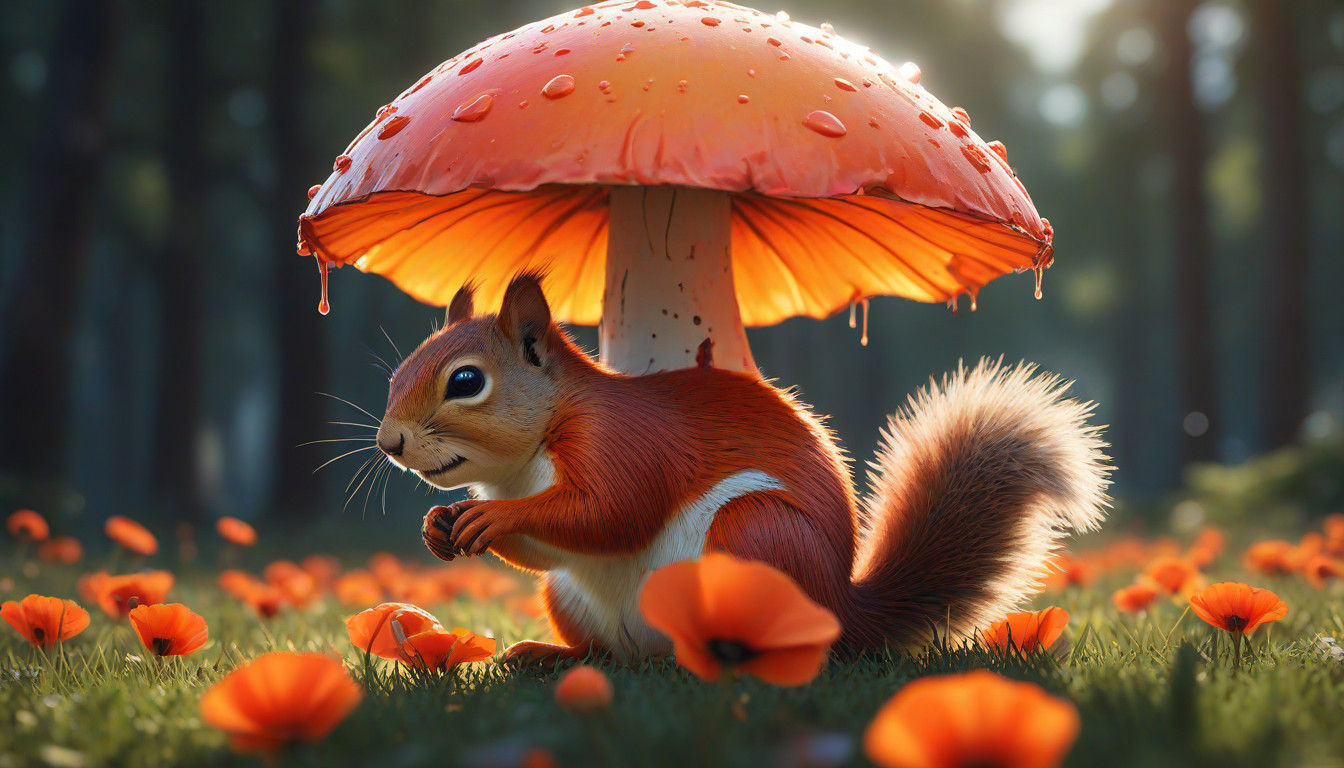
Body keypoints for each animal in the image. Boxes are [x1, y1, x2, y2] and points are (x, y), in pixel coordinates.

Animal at [375, 274, 1110, 664]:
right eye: (398, 371)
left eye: (466, 381)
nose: (389, 443)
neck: (525, 462)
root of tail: (841, 609)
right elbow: (554, 544)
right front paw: (440, 525)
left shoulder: (623, 444)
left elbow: (611, 512)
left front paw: (491, 517)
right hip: (575, 601)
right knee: (611, 657)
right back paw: (548, 656)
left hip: (754, 532)